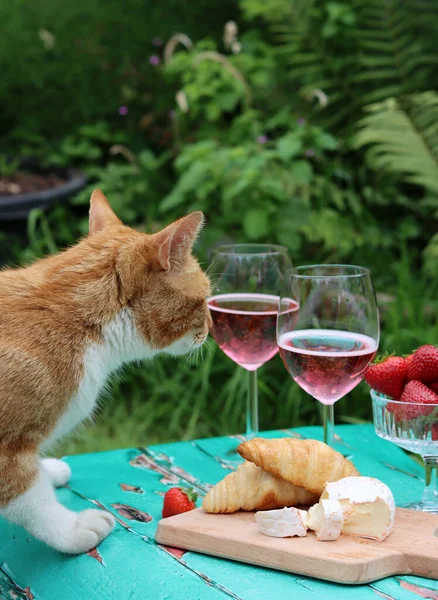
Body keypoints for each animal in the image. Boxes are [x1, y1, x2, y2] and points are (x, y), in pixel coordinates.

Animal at [0, 191, 212, 552]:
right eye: (205, 300)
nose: (211, 328)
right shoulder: (5, 450)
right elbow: (31, 499)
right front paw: (70, 530)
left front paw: (46, 470)